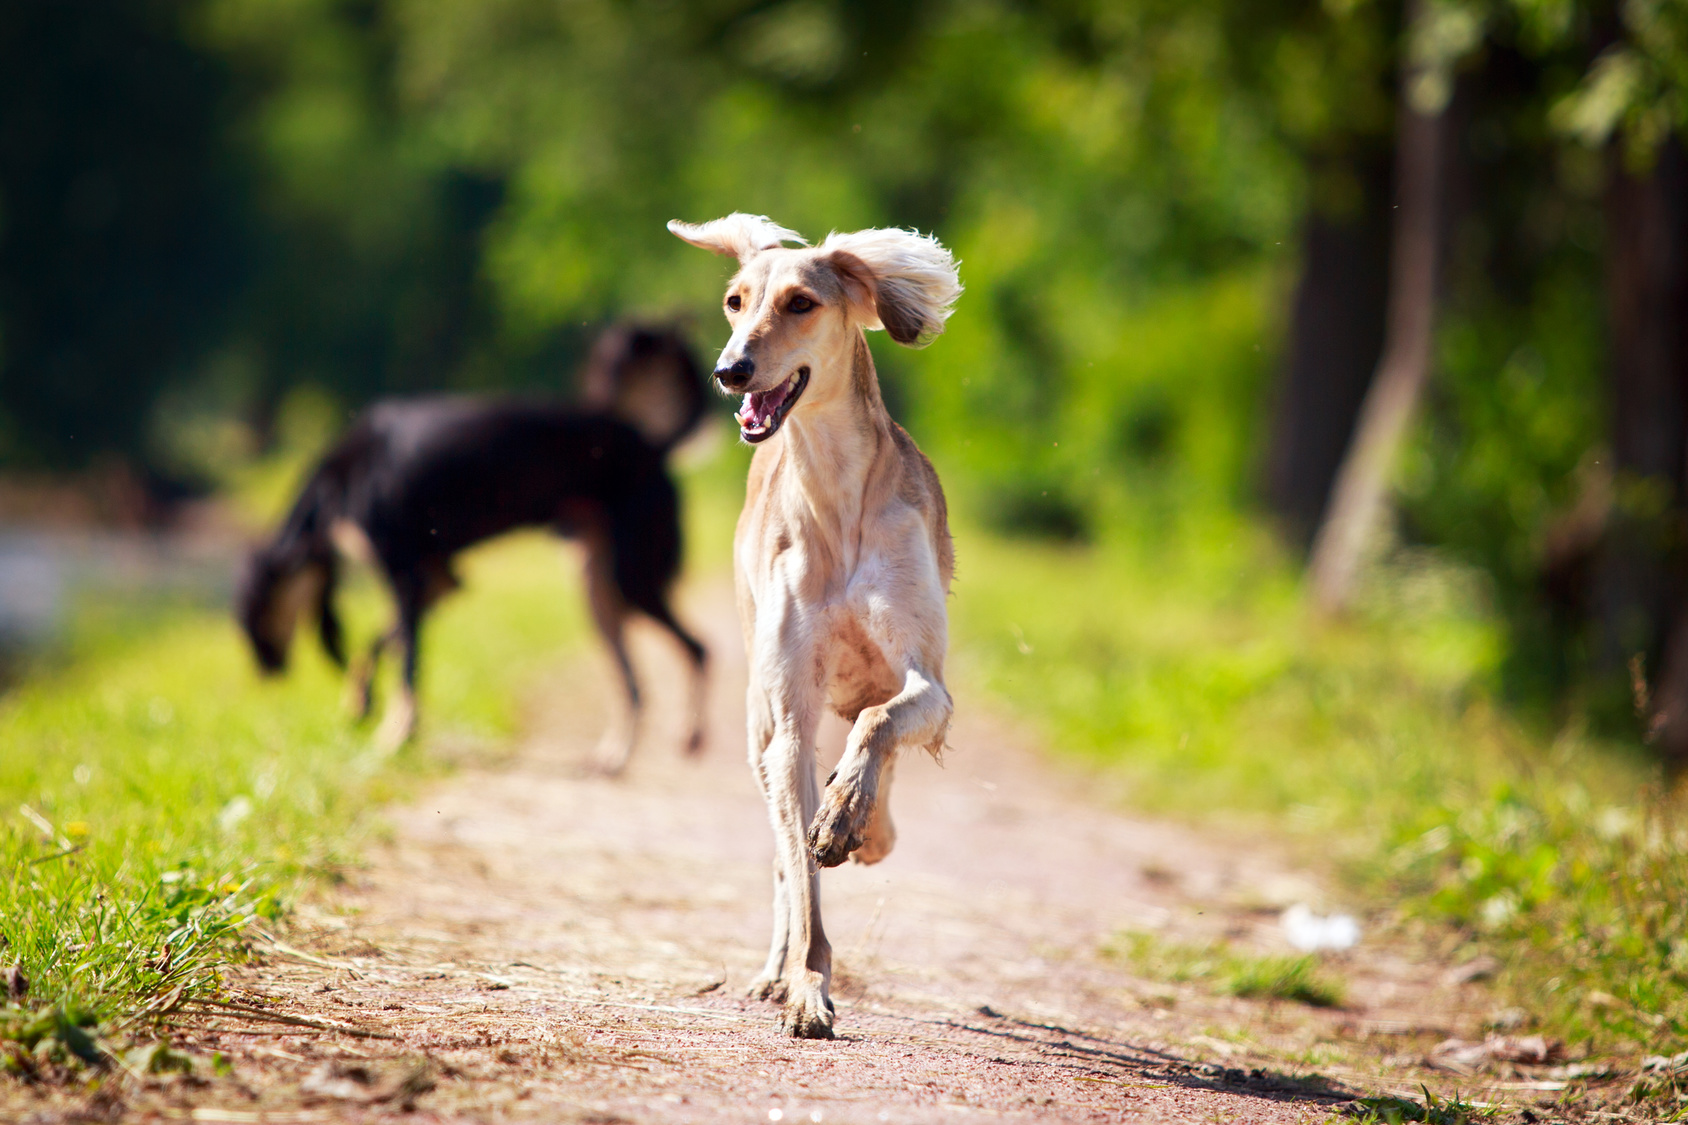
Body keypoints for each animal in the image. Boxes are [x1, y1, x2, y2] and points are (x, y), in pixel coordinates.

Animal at [236, 319, 705, 766]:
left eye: (251, 613)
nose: (262, 675)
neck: (337, 484)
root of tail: (653, 448)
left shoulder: (405, 575)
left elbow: (407, 664)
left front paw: (396, 734)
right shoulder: (438, 580)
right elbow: (380, 643)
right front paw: (362, 702)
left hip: (632, 579)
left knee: (698, 650)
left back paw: (692, 735)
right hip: (597, 590)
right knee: (635, 684)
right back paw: (615, 754)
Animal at [671, 210, 965, 1033]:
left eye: (801, 303)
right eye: (736, 300)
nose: (731, 370)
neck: (835, 495)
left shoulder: (928, 681)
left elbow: (881, 725)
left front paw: (848, 813)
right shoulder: (791, 717)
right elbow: (801, 877)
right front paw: (805, 984)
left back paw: (863, 821)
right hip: (757, 727)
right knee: (781, 851)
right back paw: (777, 964)